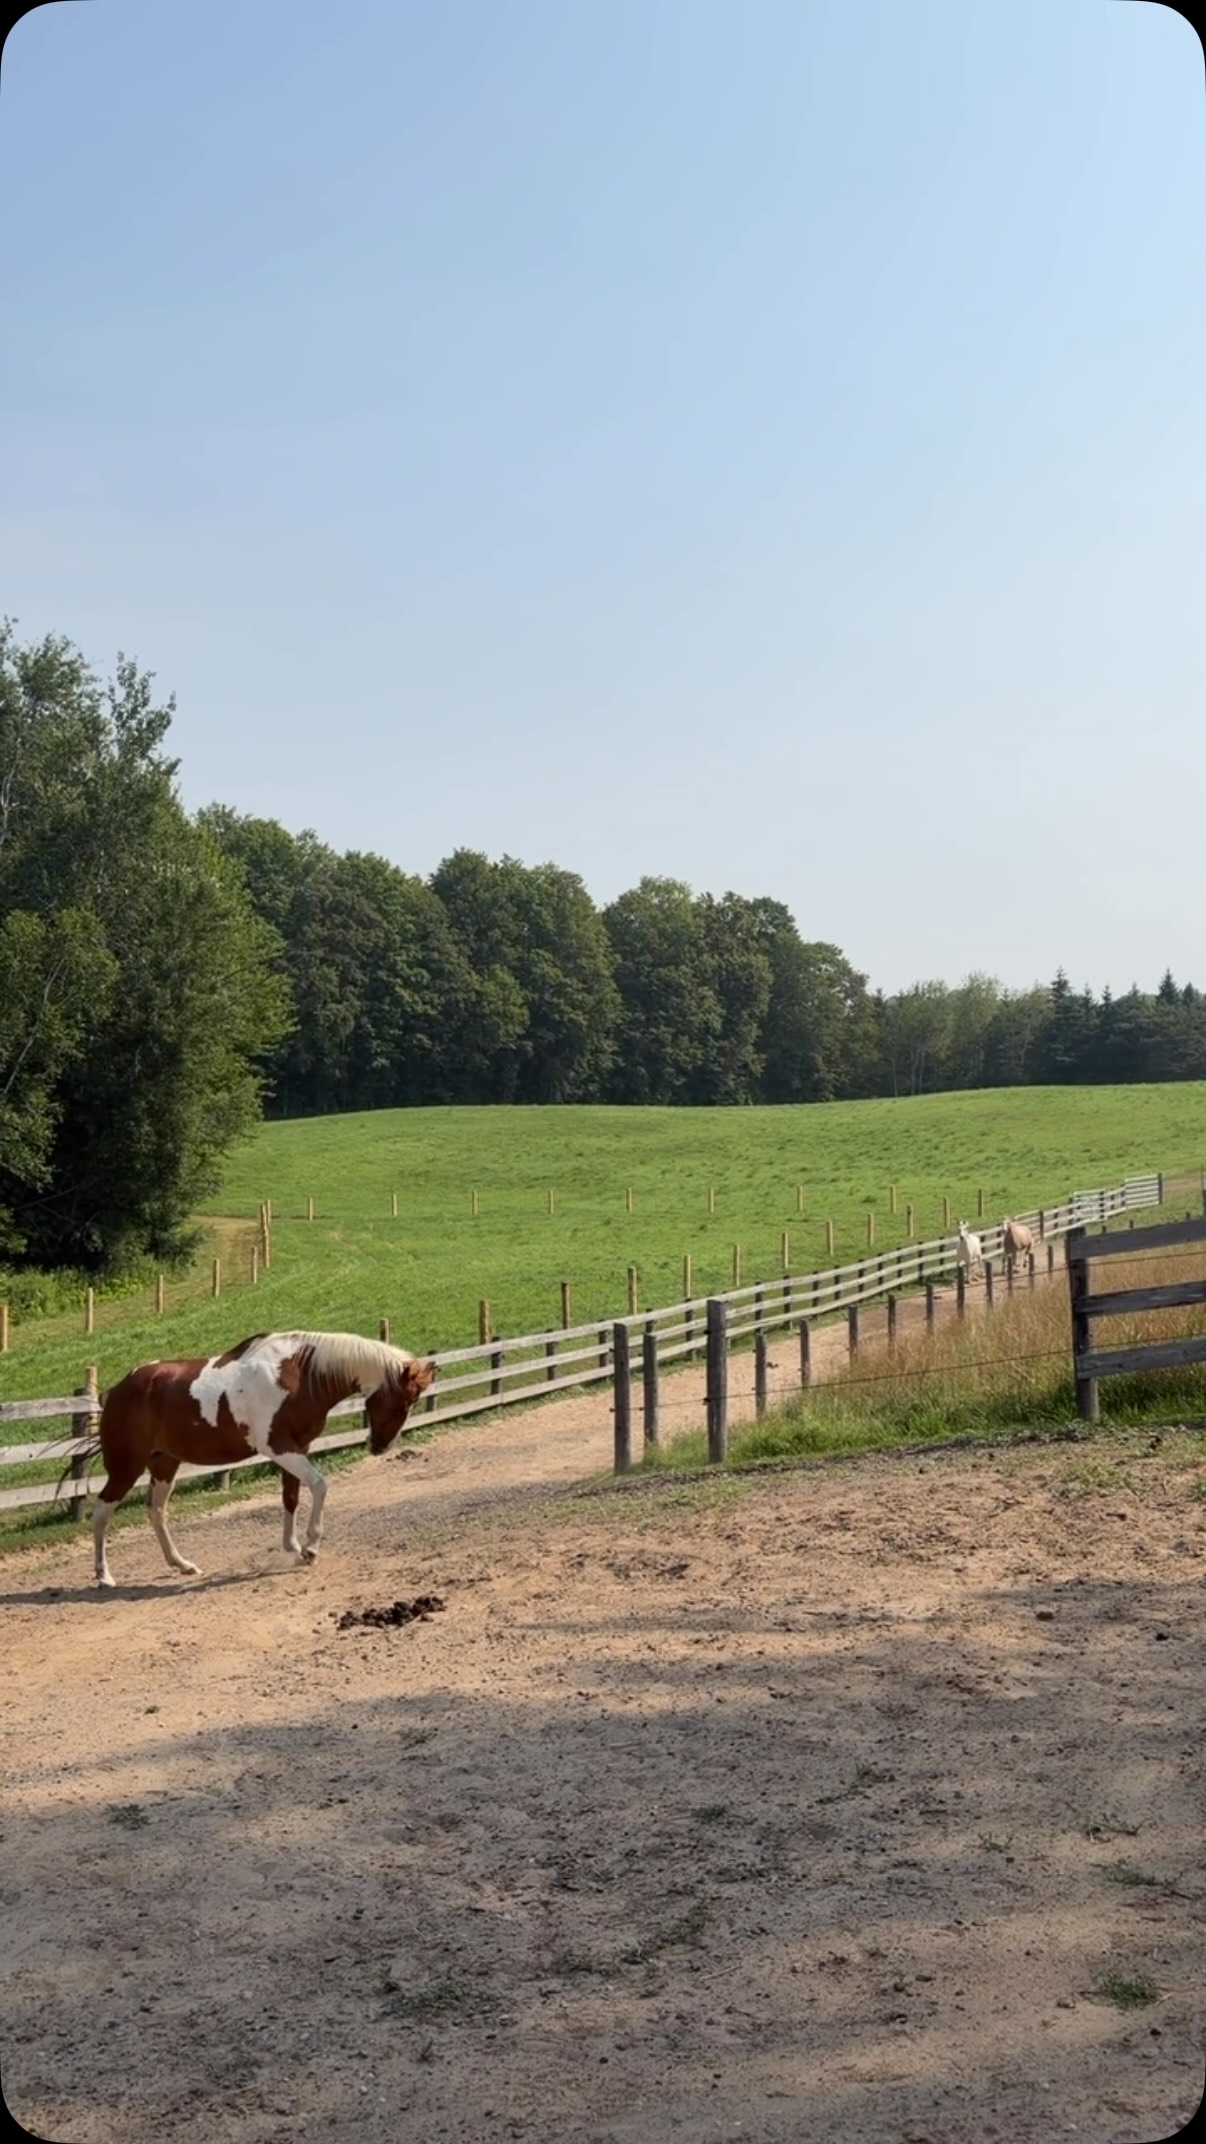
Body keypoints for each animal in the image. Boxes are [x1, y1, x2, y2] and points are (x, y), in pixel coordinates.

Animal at [81, 1330, 438, 1589]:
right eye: (402, 1404)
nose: (379, 1447)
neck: (299, 1376)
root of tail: (116, 1391)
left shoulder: (299, 1446)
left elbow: (291, 1497)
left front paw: (293, 1547)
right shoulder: (278, 1446)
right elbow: (319, 1485)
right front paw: (310, 1547)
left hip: (165, 1464)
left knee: (156, 1512)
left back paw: (181, 1564)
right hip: (126, 1467)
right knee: (102, 1511)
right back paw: (104, 1576)